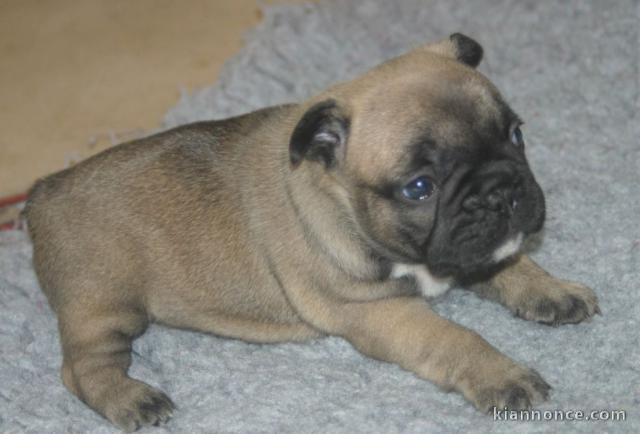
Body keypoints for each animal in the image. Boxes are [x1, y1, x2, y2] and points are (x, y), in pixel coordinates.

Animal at [23, 33, 600, 430]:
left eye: (516, 134)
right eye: (419, 187)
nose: (501, 190)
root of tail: (42, 193)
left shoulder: (473, 252)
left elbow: (512, 263)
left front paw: (553, 290)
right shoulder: (379, 312)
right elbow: (454, 337)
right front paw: (501, 374)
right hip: (106, 304)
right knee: (81, 369)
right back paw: (131, 398)